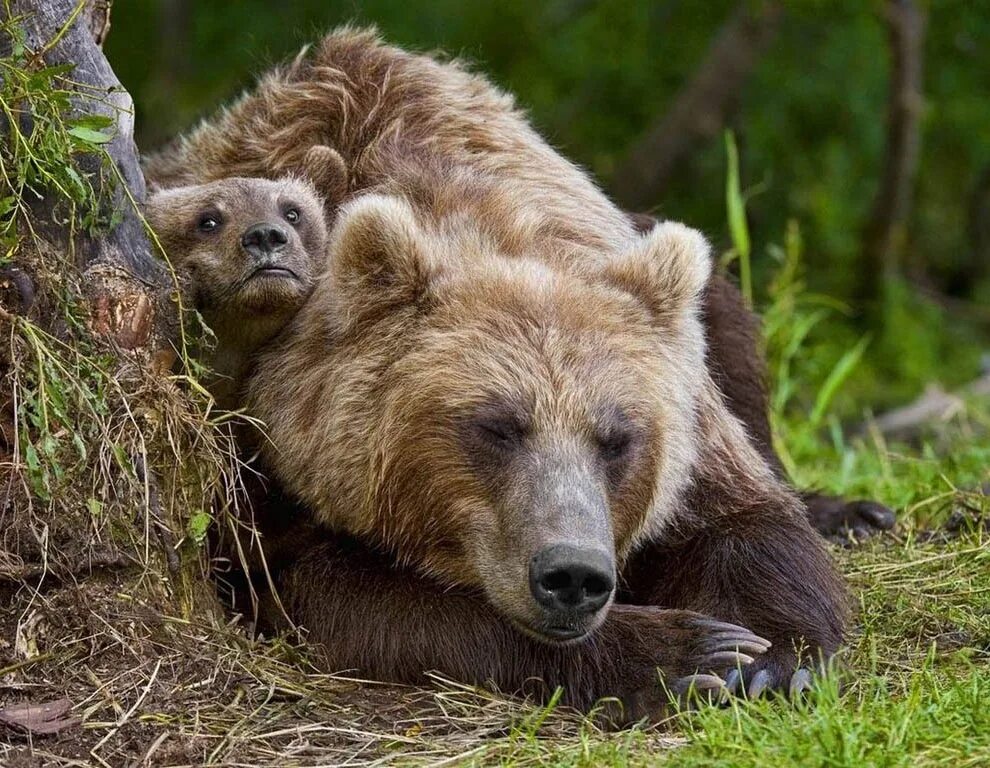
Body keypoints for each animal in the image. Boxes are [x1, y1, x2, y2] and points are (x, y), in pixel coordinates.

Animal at [147, 25, 892, 720]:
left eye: (617, 438)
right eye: (497, 426)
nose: (573, 576)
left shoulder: (692, 425)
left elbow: (743, 522)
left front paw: (772, 659)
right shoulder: (268, 469)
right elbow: (359, 600)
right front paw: (682, 653)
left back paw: (854, 511)